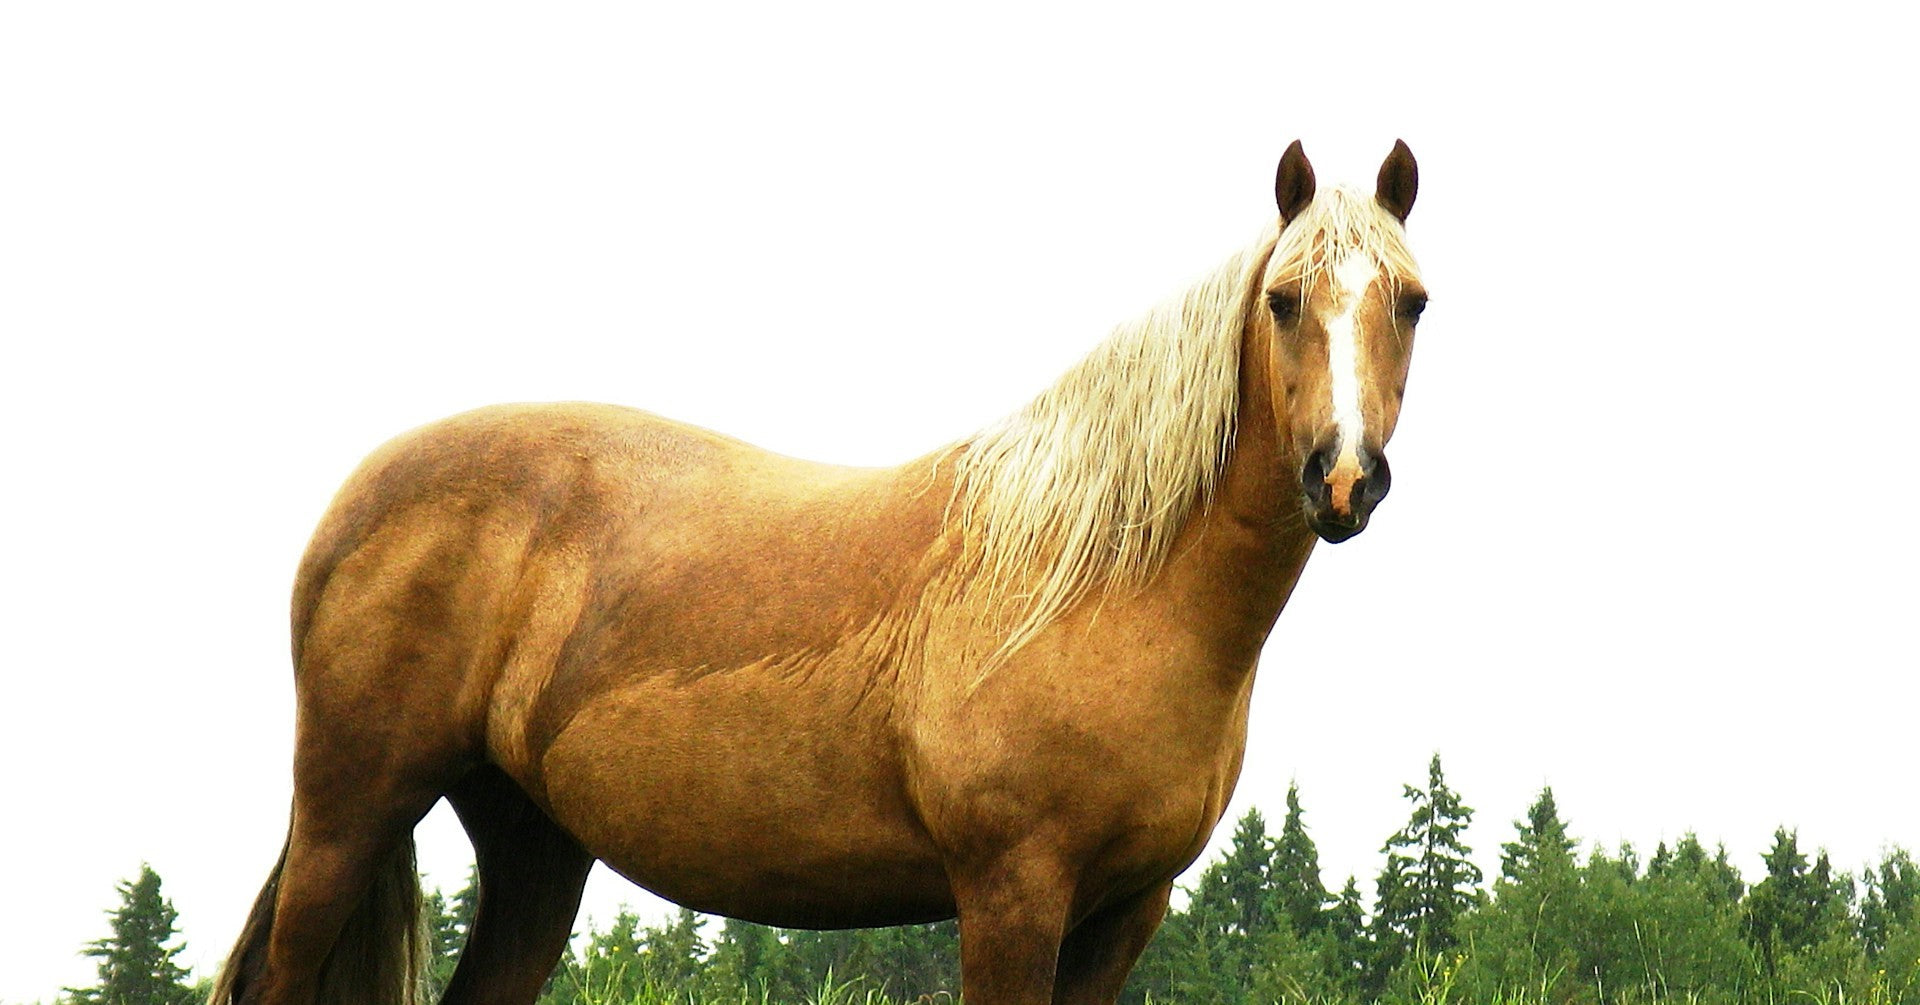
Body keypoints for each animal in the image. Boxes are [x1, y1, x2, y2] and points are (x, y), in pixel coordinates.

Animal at [211, 139, 1428, 1005]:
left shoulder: (1126, 909)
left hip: (531, 848)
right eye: (1283, 300)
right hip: (353, 807)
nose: (1343, 477)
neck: (1093, 584)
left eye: (1411, 302)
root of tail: (355, 503)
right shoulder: (1012, 893)